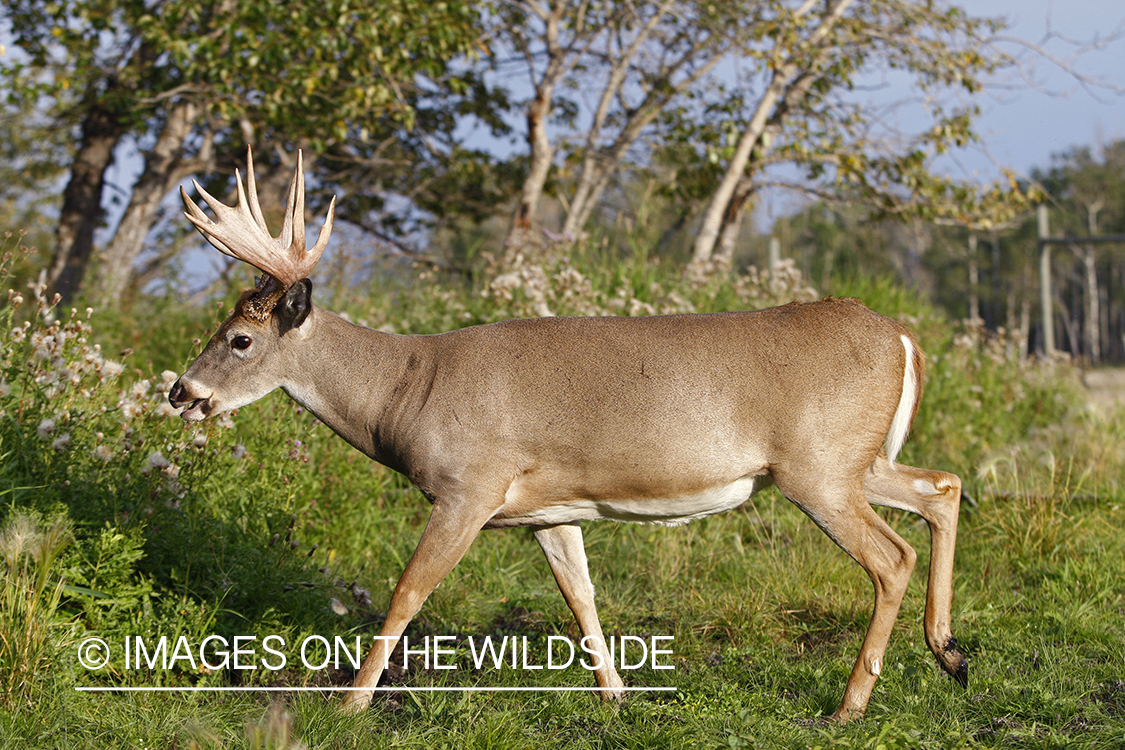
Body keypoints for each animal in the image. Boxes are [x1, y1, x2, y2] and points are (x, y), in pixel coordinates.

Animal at [168, 149, 967, 724]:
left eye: (239, 339)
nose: (182, 392)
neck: (407, 389)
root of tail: (902, 338)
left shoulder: (469, 485)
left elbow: (407, 593)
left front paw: (349, 705)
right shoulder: (549, 510)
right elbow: (581, 599)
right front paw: (617, 698)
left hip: (818, 467)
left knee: (890, 556)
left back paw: (850, 705)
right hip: (856, 460)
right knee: (943, 486)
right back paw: (950, 653)